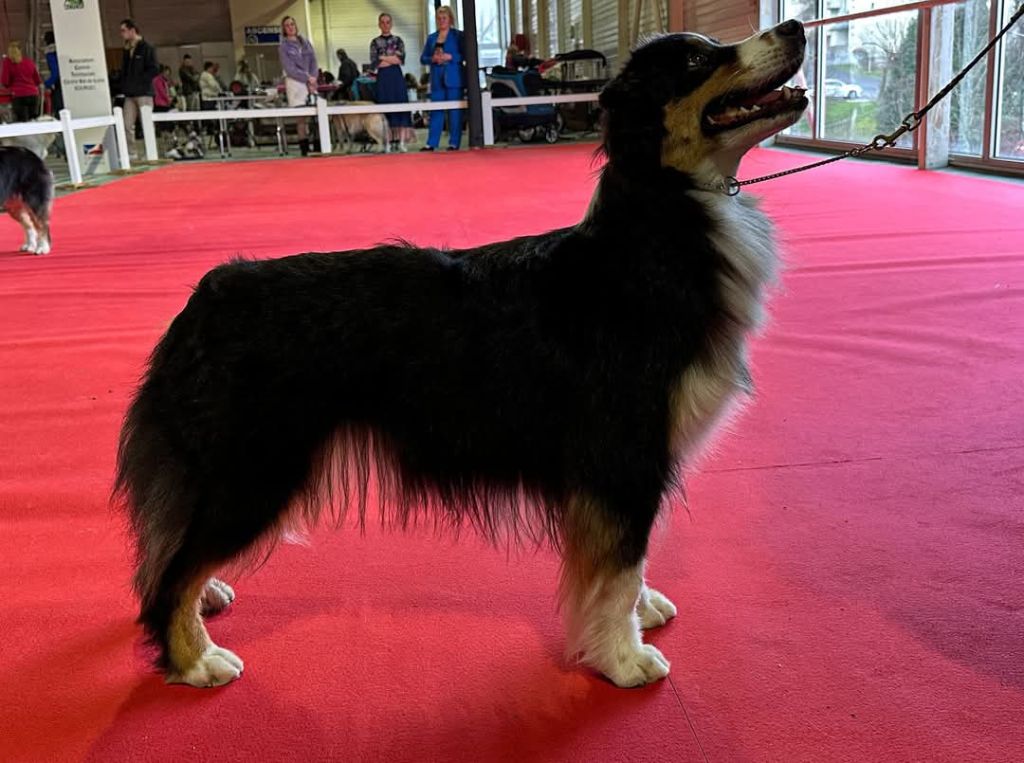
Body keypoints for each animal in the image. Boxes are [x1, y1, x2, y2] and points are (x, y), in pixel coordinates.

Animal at [115, 21, 807, 688]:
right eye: (696, 61)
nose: (798, 27)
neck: (661, 224)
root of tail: (207, 296)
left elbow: (621, 561)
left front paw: (637, 617)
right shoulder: (622, 453)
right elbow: (618, 567)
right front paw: (622, 657)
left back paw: (207, 601)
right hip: (255, 467)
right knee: (171, 572)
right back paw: (195, 659)